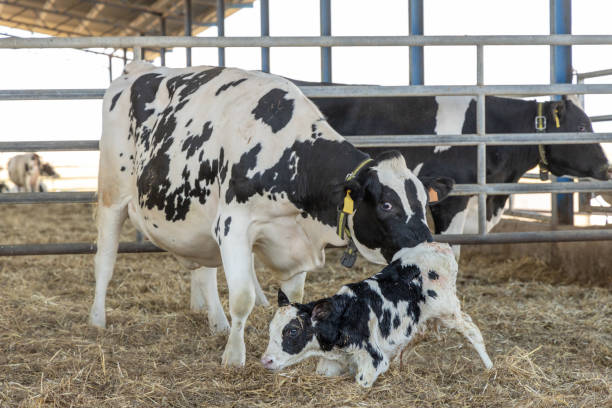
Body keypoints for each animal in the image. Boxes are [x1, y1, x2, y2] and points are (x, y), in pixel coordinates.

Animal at [92, 61, 454, 366]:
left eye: (424, 202)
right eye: (387, 204)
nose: (430, 251)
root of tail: (139, 67)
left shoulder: (293, 240)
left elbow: (293, 297)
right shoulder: (233, 227)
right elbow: (242, 297)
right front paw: (234, 358)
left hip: (198, 222)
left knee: (205, 274)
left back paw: (218, 323)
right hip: (112, 196)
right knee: (105, 262)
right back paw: (97, 319)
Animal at [262, 242, 492, 388]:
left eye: (292, 331)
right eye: (271, 329)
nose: (266, 361)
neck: (345, 317)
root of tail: (438, 246)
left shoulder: (373, 359)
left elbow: (361, 382)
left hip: (448, 310)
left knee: (472, 330)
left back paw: (489, 367)